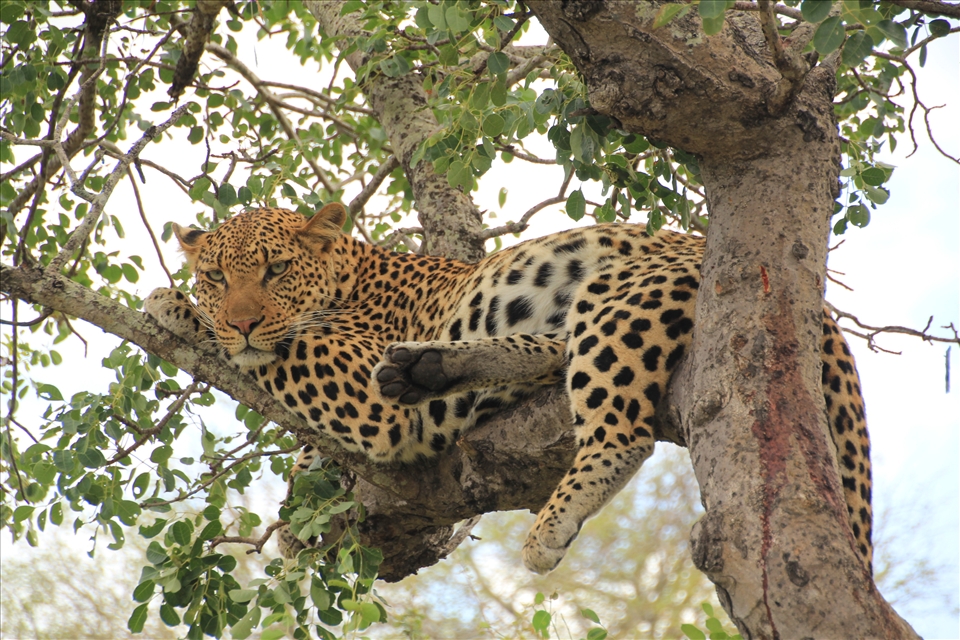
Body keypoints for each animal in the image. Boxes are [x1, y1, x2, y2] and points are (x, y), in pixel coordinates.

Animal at [144, 203, 873, 575]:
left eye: (276, 270)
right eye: (215, 275)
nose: (241, 319)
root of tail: (820, 305)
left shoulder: (359, 389)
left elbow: (282, 350)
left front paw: (176, 308)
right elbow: (307, 455)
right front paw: (302, 513)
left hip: (617, 295)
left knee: (619, 428)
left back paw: (549, 523)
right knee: (549, 355)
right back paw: (429, 367)